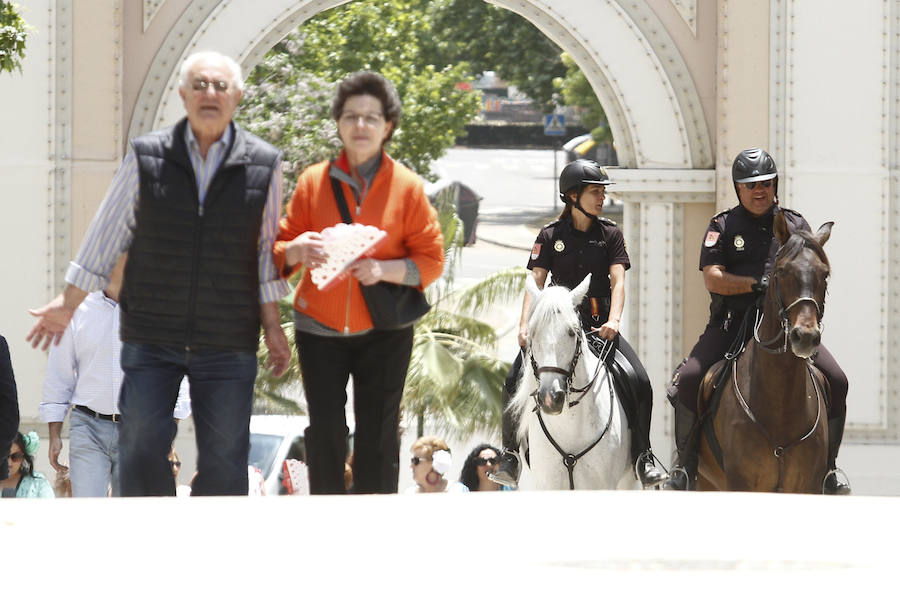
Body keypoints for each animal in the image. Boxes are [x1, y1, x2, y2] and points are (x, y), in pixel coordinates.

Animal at [696, 212, 836, 492]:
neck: (780, 401)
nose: (805, 336)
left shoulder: (807, 486)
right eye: (781, 271)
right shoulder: (740, 483)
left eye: (824, 274)